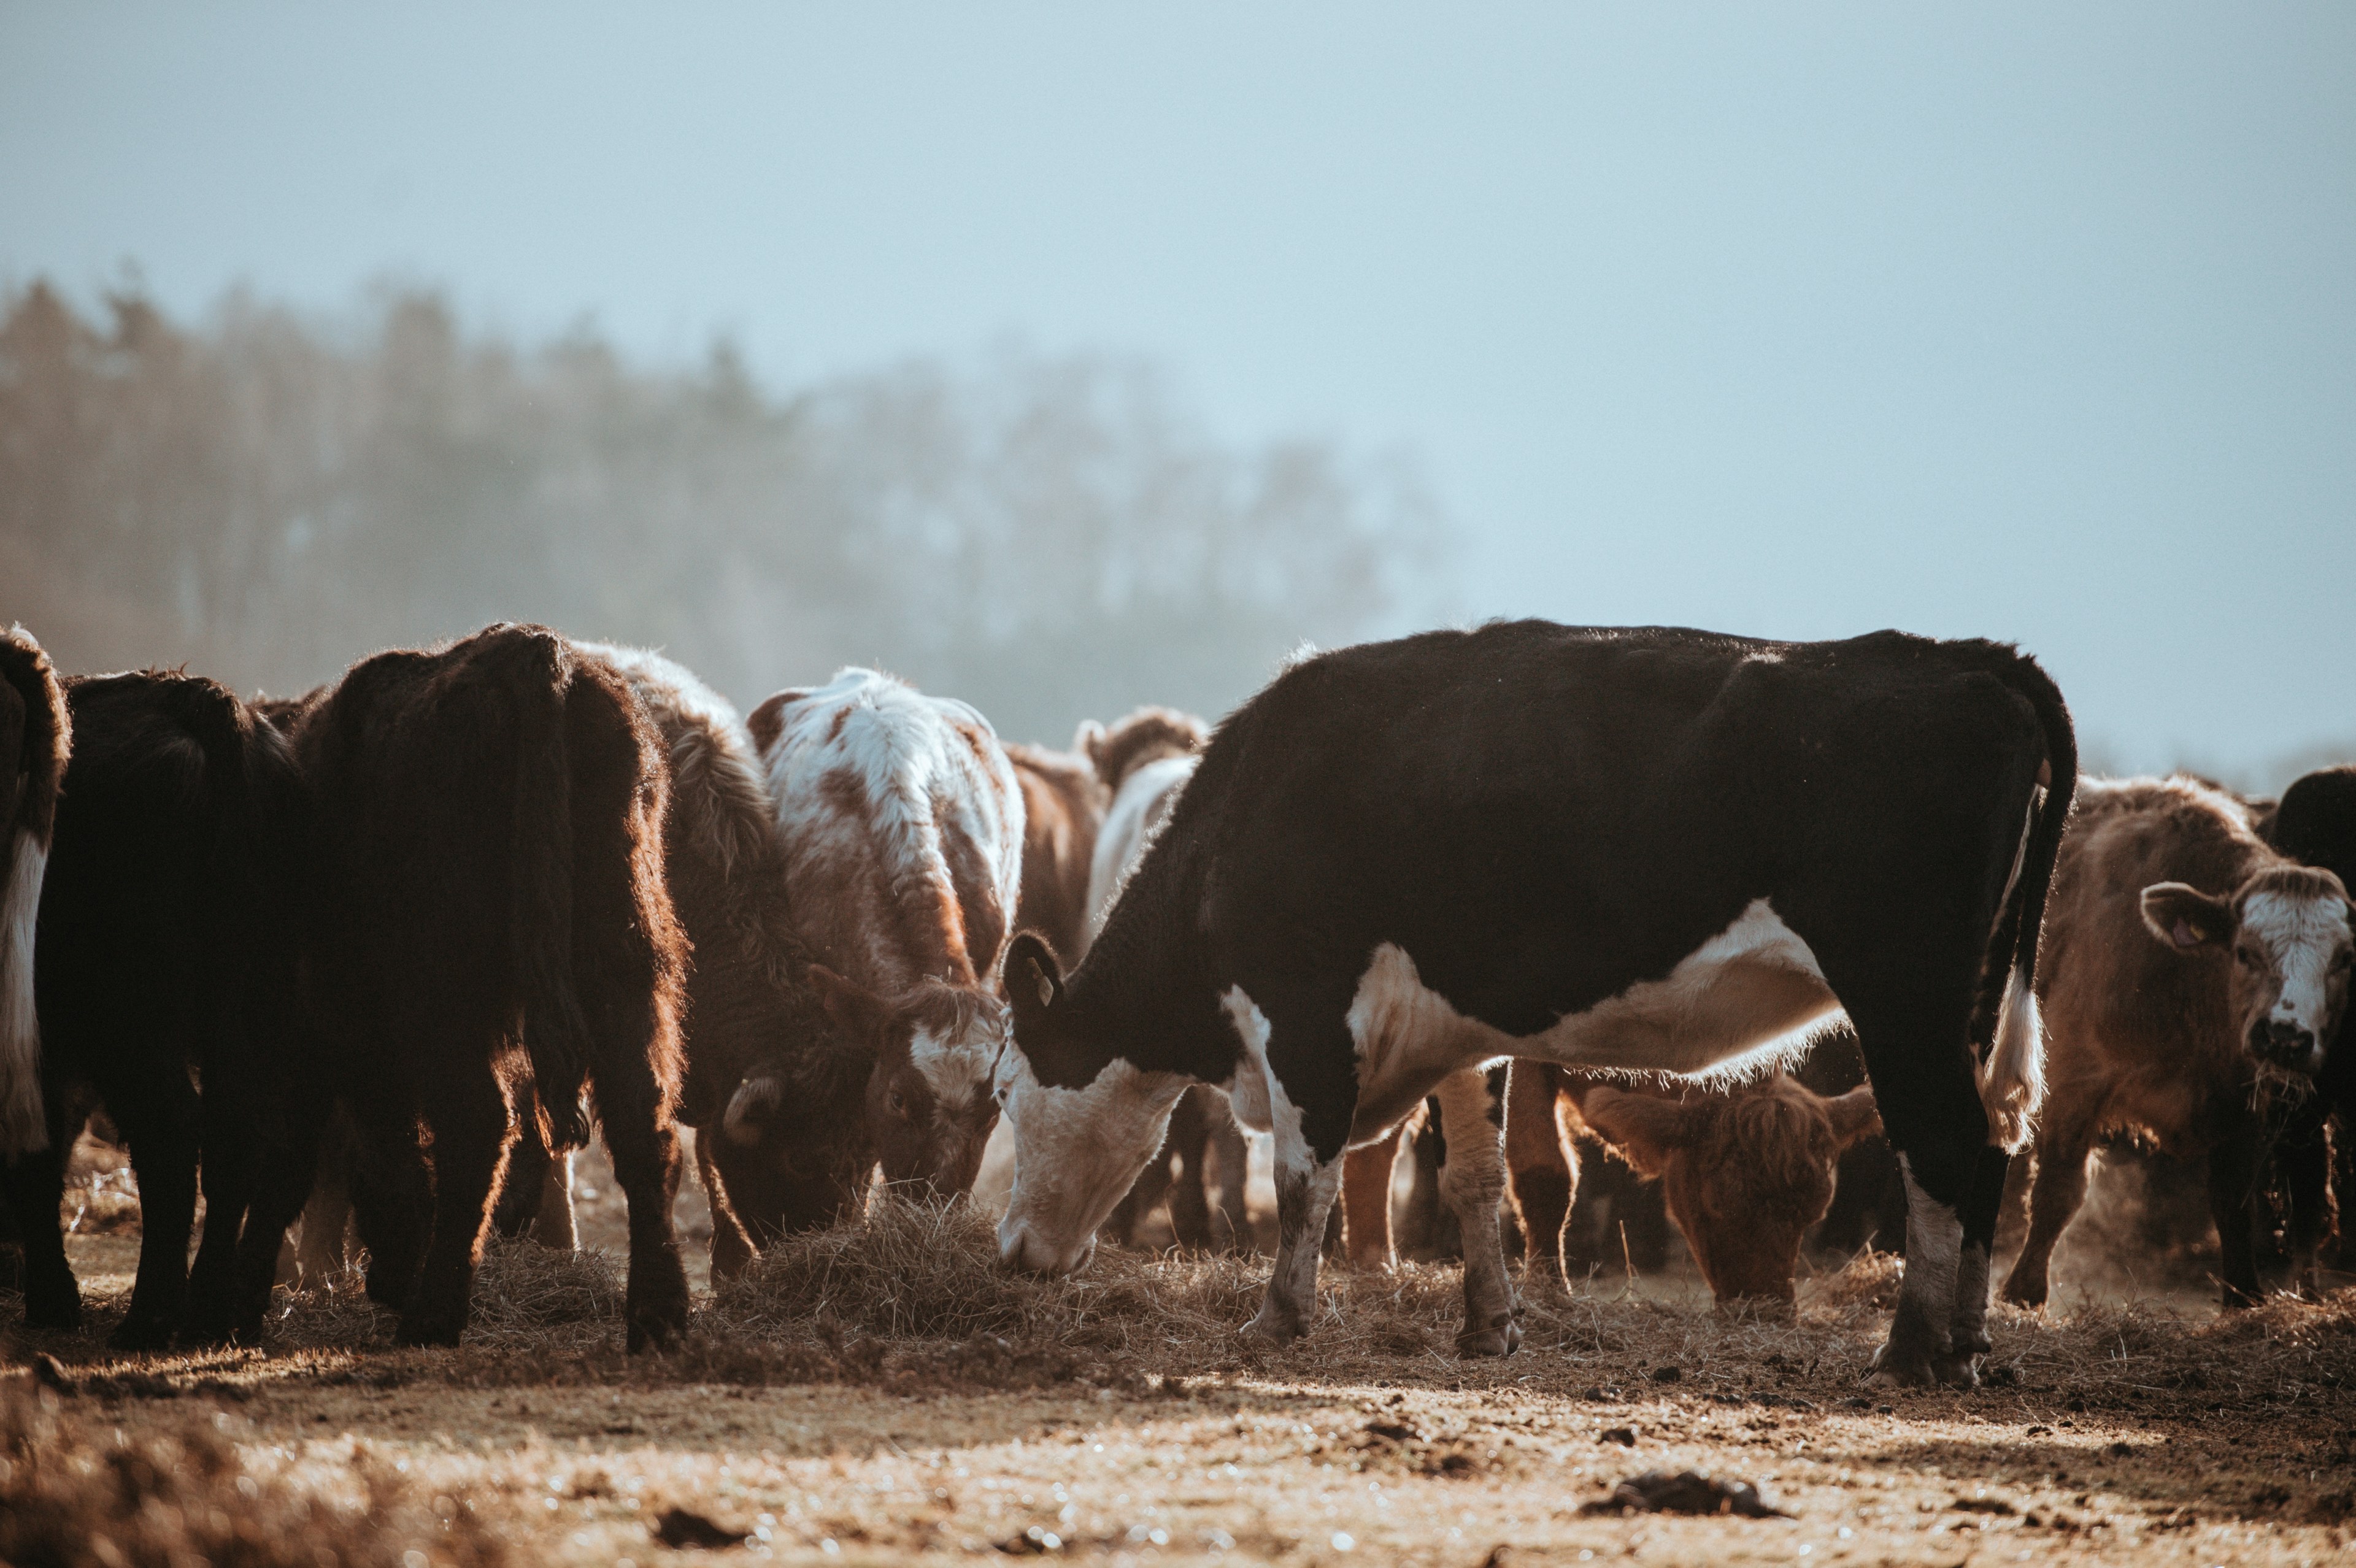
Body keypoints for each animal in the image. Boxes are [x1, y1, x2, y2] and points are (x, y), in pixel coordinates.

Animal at [0, 670, 304, 1347]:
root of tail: (189, 697)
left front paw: (52, 1298)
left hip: (130, 1019)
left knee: (171, 1129)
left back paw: (148, 1319)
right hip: (246, 1003)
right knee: (237, 1131)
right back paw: (210, 1315)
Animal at [225, 624, 692, 1350]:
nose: (383, 1279)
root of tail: (535, 653)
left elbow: (313, 1155)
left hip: (451, 998)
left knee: (478, 1126)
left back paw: (432, 1314)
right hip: (626, 963)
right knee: (645, 1123)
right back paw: (659, 1318)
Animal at [2000, 776, 2354, 1312]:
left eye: (2344, 959)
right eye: (2244, 952)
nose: (2285, 1036)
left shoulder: (2244, 1103)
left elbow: (2233, 1202)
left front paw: (2244, 1296)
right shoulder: (2076, 1078)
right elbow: (2059, 1189)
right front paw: (2023, 1292)